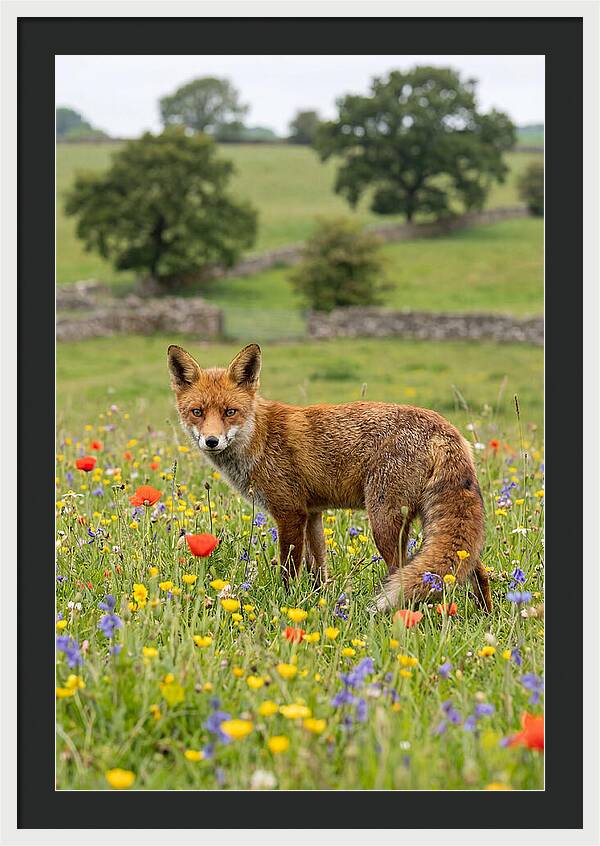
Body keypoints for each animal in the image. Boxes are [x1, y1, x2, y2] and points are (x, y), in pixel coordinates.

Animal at [167, 342, 492, 613]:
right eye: (197, 412)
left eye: (230, 412)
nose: (211, 441)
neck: (259, 438)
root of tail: (444, 428)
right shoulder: (312, 514)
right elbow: (318, 570)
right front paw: (318, 602)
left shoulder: (290, 513)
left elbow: (289, 570)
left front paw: (286, 603)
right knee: (476, 570)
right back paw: (484, 615)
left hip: (384, 521)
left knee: (401, 572)